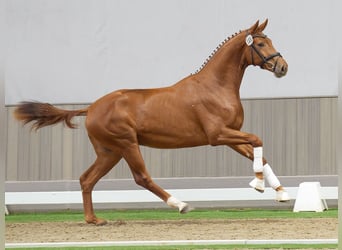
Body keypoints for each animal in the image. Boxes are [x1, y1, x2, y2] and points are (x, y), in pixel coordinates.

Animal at [15, 19, 288, 225]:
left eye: (270, 41)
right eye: (260, 43)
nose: (282, 67)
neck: (215, 86)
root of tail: (91, 108)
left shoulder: (231, 136)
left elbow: (260, 155)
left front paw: (281, 193)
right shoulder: (218, 135)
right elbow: (257, 140)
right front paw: (258, 185)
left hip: (110, 152)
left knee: (87, 179)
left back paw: (94, 220)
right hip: (127, 145)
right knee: (141, 178)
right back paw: (180, 204)